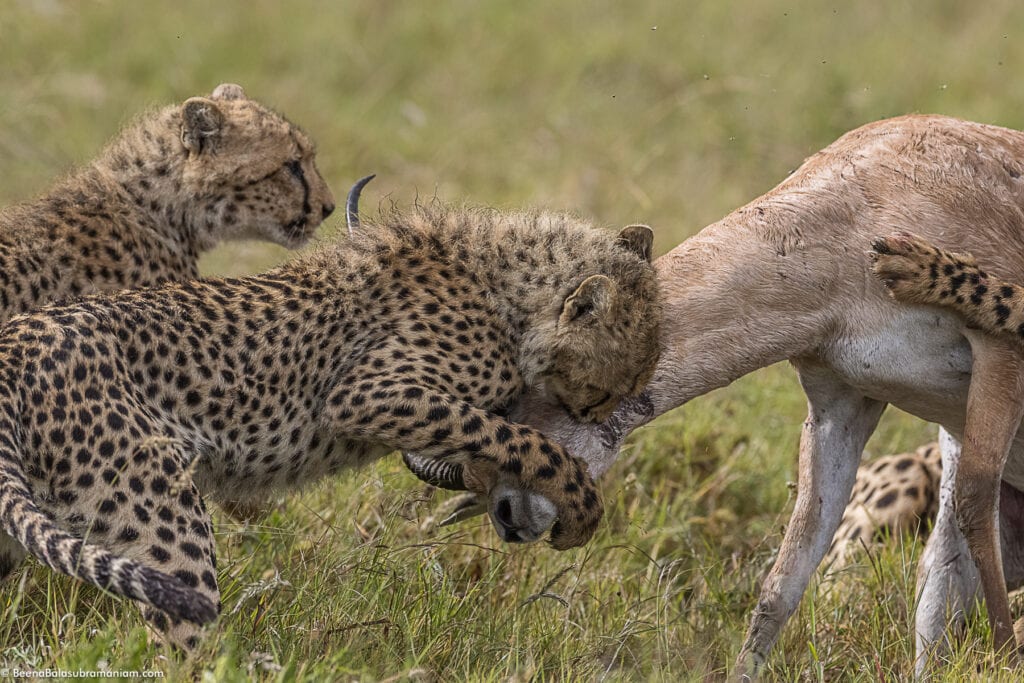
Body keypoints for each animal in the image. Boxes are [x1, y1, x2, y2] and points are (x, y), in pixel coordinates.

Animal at [0, 191, 659, 647]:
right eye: (610, 391)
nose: (603, 413)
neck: (511, 288)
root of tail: (17, 341)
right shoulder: (367, 394)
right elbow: (517, 436)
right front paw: (580, 504)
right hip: (161, 513)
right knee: (185, 643)